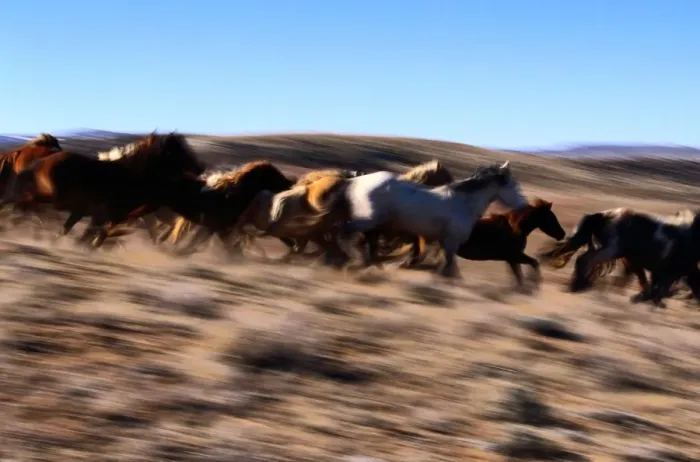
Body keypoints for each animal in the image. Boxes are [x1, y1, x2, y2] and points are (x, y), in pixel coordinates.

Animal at [9, 132, 206, 247]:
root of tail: (43, 160)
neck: (131, 176)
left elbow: (82, 234)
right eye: (179, 152)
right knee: (26, 201)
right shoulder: (103, 214)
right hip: (53, 197)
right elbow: (91, 235)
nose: (201, 168)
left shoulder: (101, 215)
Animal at [538, 207, 700, 305]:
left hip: (603, 249)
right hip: (609, 250)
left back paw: (580, 284)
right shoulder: (671, 270)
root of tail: (602, 215)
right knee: (585, 260)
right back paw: (578, 285)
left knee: (583, 260)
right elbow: (659, 285)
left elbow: (647, 281)